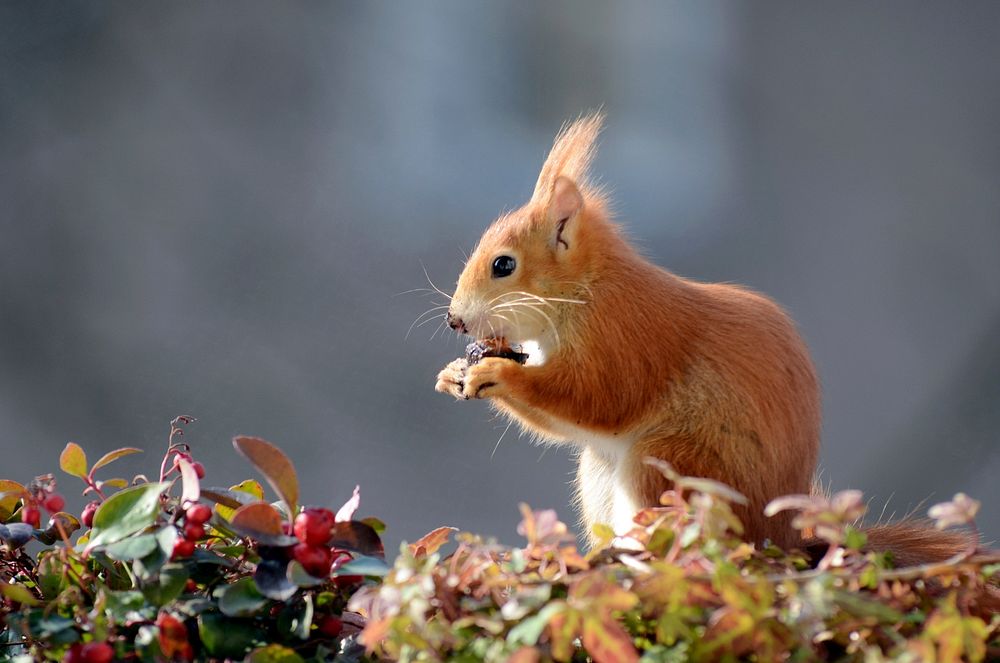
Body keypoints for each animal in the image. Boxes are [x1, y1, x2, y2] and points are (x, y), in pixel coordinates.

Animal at [434, 114, 972, 564]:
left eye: (504, 265)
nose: (455, 321)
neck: (585, 289)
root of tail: (778, 541)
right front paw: (454, 373)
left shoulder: (625, 336)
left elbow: (597, 398)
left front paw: (496, 373)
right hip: (603, 472)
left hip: (671, 466)